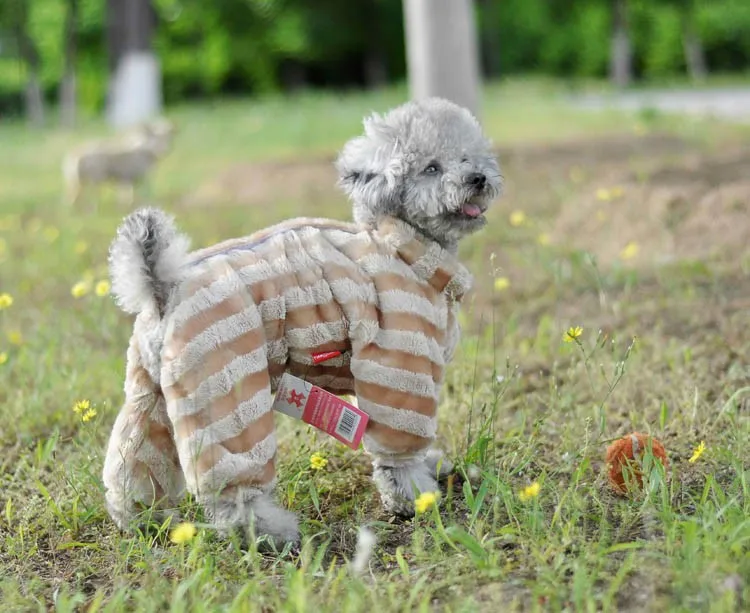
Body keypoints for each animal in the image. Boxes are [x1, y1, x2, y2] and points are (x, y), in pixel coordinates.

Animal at [100, 98, 500, 548]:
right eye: (431, 167)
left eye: (467, 157)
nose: (478, 178)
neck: (401, 244)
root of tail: (163, 288)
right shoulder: (399, 363)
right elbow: (399, 453)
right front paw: (415, 497)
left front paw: (433, 467)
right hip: (225, 388)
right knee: (232, 491)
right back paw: (270, 532)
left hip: (151, 393)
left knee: (132, 464)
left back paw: (142, 520)